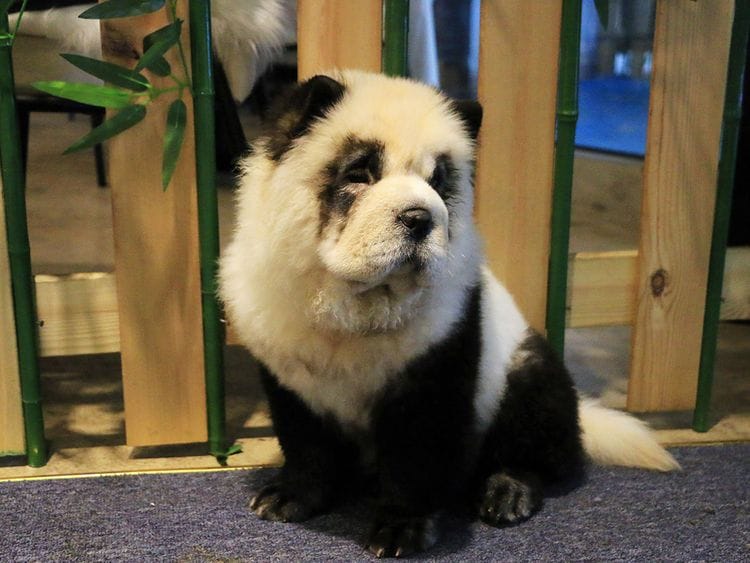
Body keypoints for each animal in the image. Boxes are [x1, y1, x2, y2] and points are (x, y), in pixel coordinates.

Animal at [219, 70, 679, 558]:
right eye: (360, 174)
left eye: (438, 182)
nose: (419, 217)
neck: (356, 305)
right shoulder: (288, 368)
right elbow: (305, 442)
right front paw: (289, 497)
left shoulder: (438, 360)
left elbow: (417, 457)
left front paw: (401, 528)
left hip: (524, 369)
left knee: (541, 445)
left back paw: (508, 490)